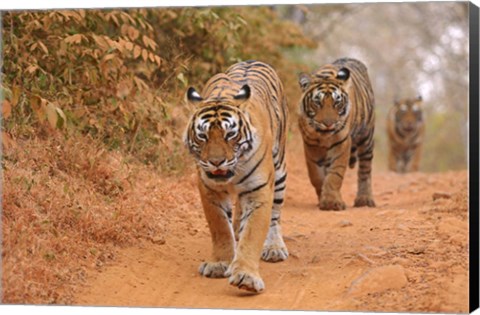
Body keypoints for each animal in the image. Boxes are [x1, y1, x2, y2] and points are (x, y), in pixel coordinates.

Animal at [183, 59, 288, 294]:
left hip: (279, 171)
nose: (216, 162)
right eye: (202, 136)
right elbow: (220, 228)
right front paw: (220, 263)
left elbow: (253, 233)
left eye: (230, 134)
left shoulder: (258, 190)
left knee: (275, 215)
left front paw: (246, 277)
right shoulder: (209, 190)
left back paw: (274, 248)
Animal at [298, 58, 376, 212]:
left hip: (366, 138)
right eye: (317, 102)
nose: (329, 124)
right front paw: (324, 197)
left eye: (337, 103)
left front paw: (331, 202)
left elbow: (335, 174)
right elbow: (316, 175)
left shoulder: (342, 142)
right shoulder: (310, 144)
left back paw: (364, 199)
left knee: (365, 169)